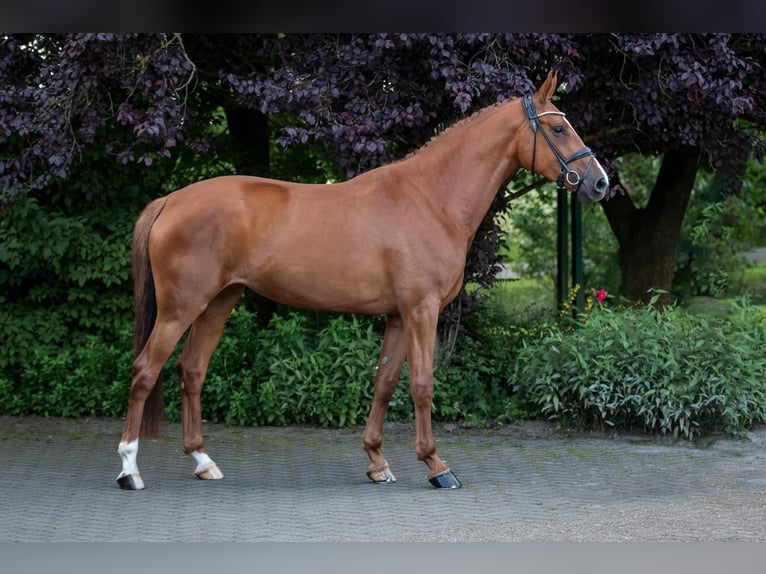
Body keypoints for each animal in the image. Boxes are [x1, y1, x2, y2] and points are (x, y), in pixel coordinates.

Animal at [116, 70, 609, 491]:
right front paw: (437, 466)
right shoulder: (422, 310)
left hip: (219, 301)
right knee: (145, 371)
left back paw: (203, 462)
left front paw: (377, 462)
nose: (600, 183)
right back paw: (129, 470)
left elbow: (385, 382)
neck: (432, 198)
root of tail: (169, 201)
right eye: (559, 129)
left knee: (191, 370)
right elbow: (422, 385)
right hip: (180, 308)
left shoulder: (398, 315)